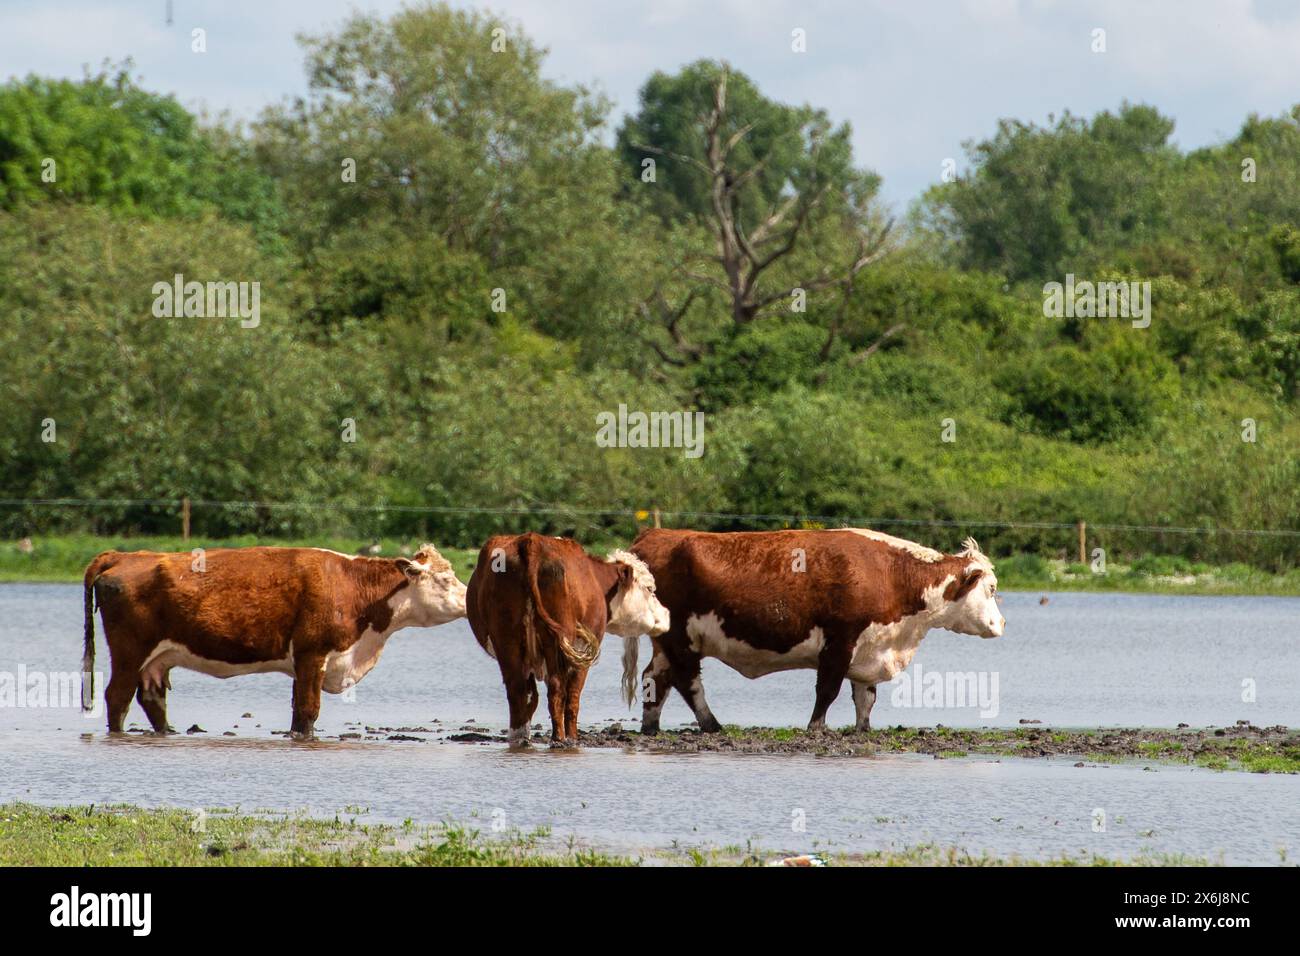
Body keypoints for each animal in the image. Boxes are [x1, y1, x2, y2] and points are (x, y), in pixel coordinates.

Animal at [81, 546, 467, 738]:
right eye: (445, 579)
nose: (468, 600)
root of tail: (126, 555)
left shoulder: (302, 662)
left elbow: (298, 711)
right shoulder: (313, 654)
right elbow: (309, 711)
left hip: (157, 659)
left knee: (153, 700)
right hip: (129, 653)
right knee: (117, 698)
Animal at [467, 530, 670, 749]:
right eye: (650, 588)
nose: (667, 613)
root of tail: (531, 540)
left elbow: (532, 697)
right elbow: (572, 695)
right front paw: (572, 737)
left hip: (507, 641)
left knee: (518, 689)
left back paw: (519, 739)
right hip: (556, 641)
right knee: (557, 690)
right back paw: (561, 738)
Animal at [629, 528, 1003, 738]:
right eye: (992, 588)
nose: (1000, 624)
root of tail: (656, 535)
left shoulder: (869, 647)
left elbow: (865, 697)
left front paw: (863, 730)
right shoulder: (840, 641)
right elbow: (828, 690)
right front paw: (817, 727)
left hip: (666, 641)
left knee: (655, 679)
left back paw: (651, 727)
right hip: (681, 639)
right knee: (687, 681)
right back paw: (711, 724)